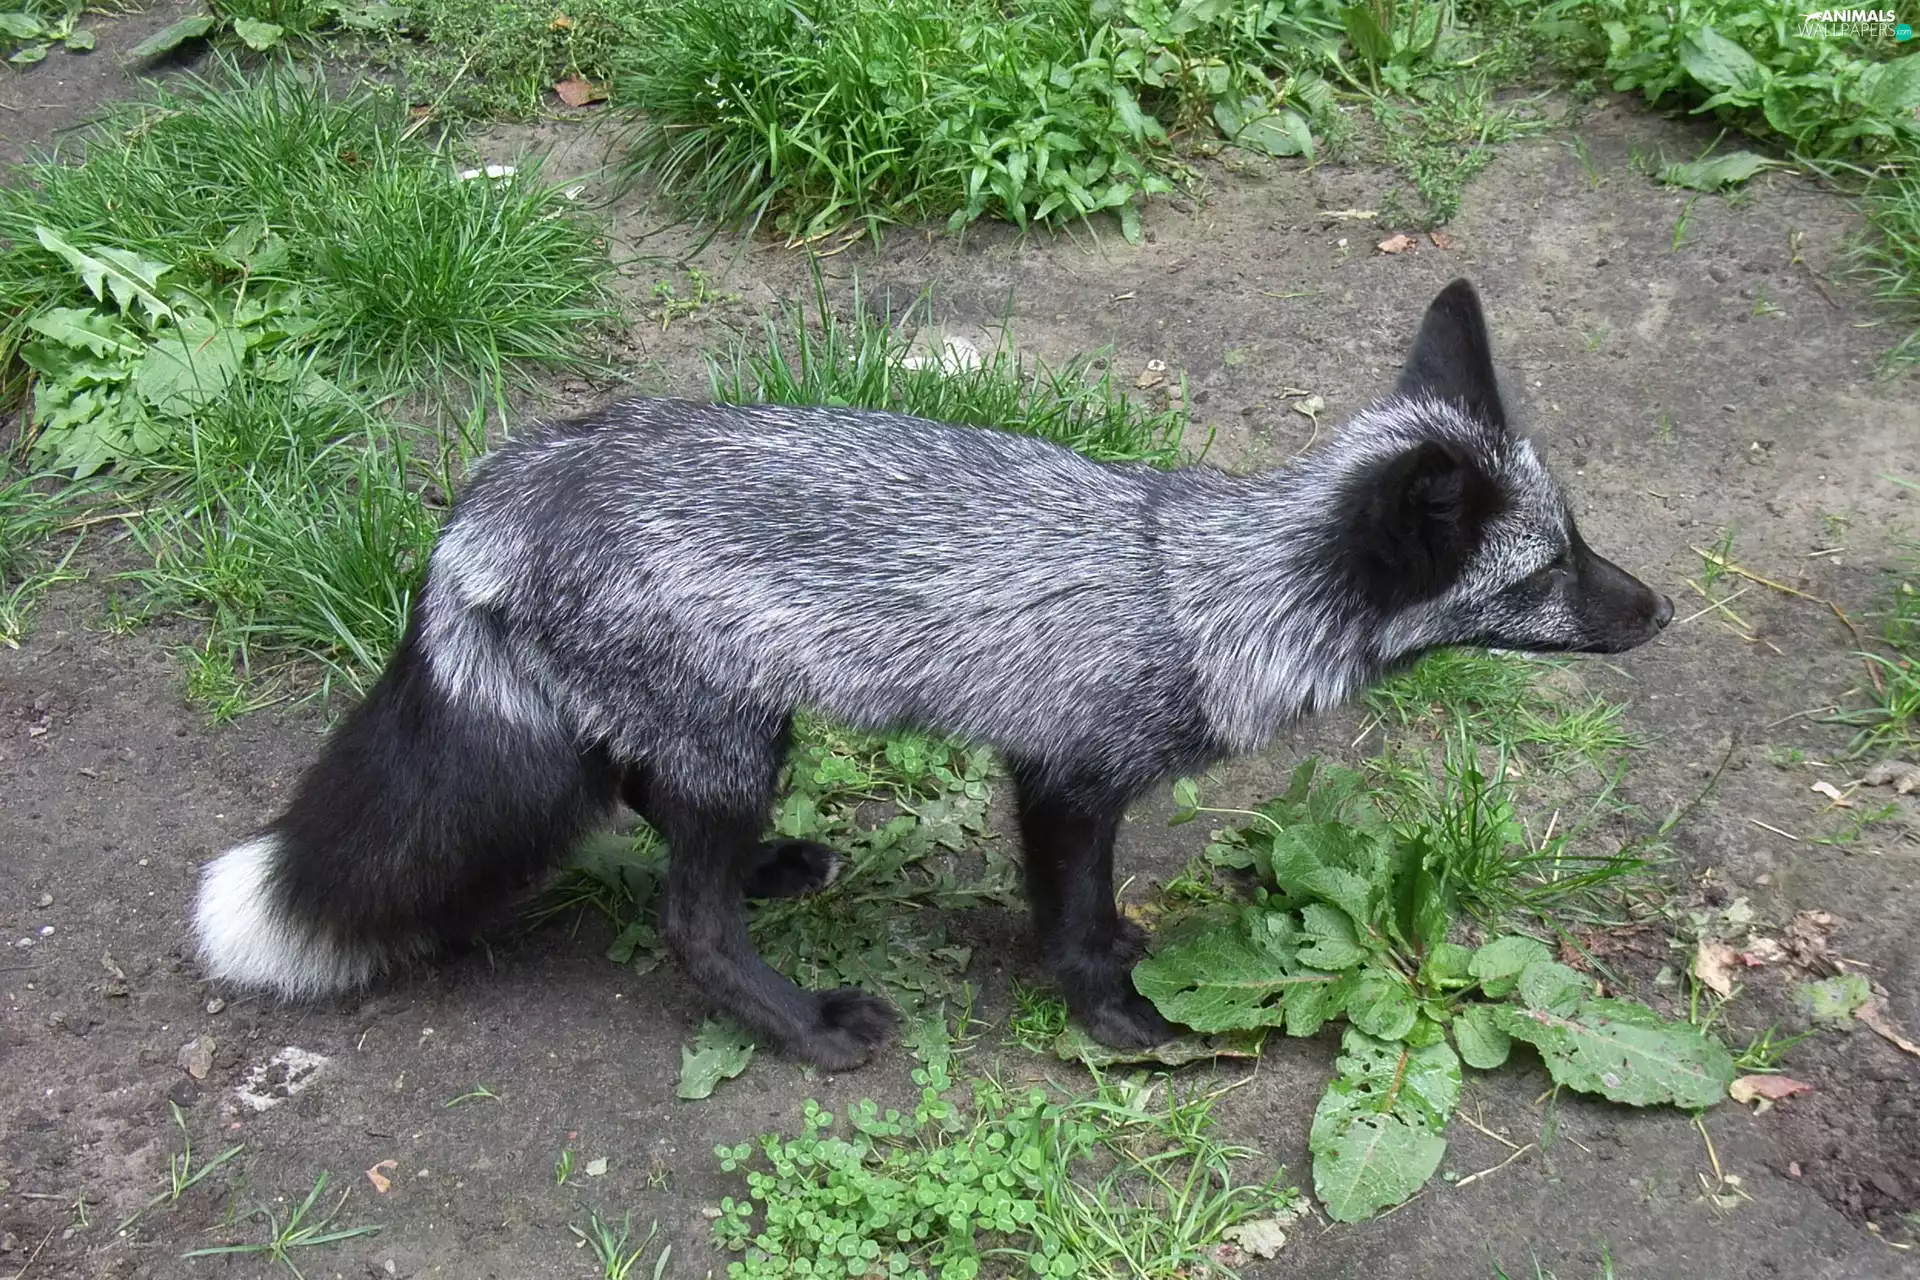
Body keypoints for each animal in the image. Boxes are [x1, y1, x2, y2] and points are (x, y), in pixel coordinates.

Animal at [192, 279, 1672, 1069]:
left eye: (1580, 539)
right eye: (1548, 574)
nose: (1658, 610)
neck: (1197, 592)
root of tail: (503, 484)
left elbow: (1096, 904)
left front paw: (1121, 968)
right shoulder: (1067, 775)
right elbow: (1068, 918)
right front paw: (1114, 1014)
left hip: (726, 731)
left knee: (639, 793)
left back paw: (779, 869)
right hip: (735, 746)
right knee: (688, 923)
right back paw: (802, 1023)